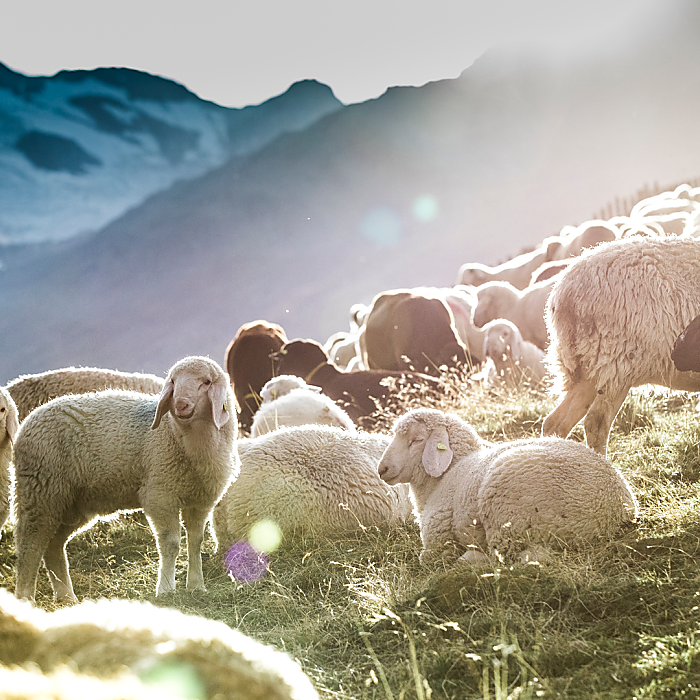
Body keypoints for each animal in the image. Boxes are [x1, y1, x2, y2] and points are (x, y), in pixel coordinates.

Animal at [377, 408, 638, 565]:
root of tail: (618, 511)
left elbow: (427, 557)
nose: (382, 469)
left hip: (506, 510)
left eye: (417, 440)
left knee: (502, 558)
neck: (448, 473)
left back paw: (470, 558)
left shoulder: (437, 539)